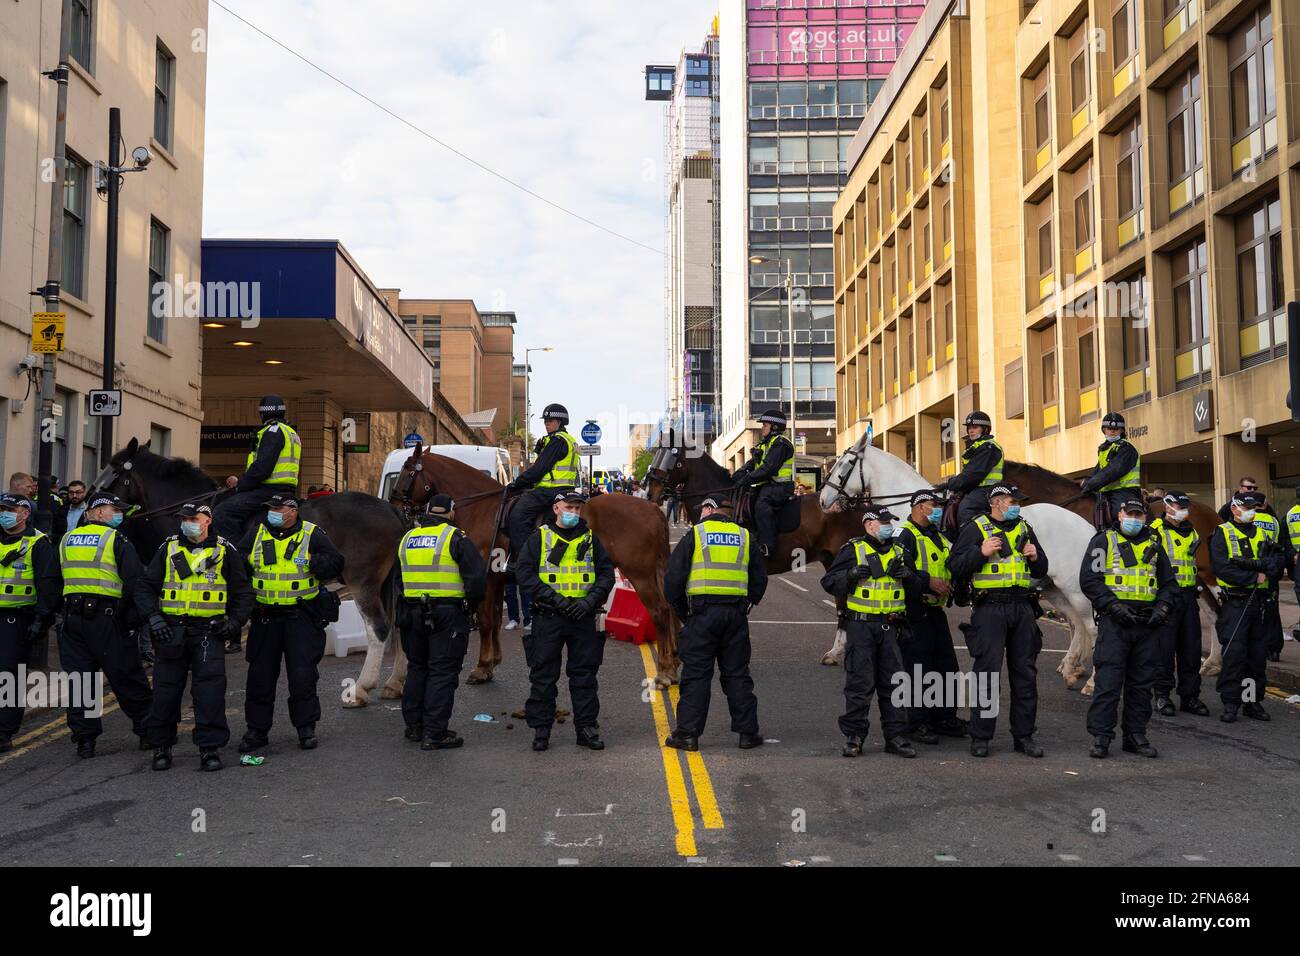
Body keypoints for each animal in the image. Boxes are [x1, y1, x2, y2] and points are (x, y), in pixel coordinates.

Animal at [390, 447, 681, 686]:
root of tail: (652, 509)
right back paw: (674, 664)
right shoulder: (497, 581)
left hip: (640, 575)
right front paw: (493, 661)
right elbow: (494, 620)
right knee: (670, 611)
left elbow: (485, 621)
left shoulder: (485, 580)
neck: (482, 508)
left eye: (406, 473)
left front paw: (482, 667)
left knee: (660, 612)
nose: (394, 507)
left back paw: (665, 672)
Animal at [816, 437, 1102, 691]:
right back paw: (1071, 670)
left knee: (1092, 628)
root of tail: (1086, 524)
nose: (822, 500)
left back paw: (1090, 682)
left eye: (845, 463)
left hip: (1075, 589)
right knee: (1078, 624)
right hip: (1055, 589)